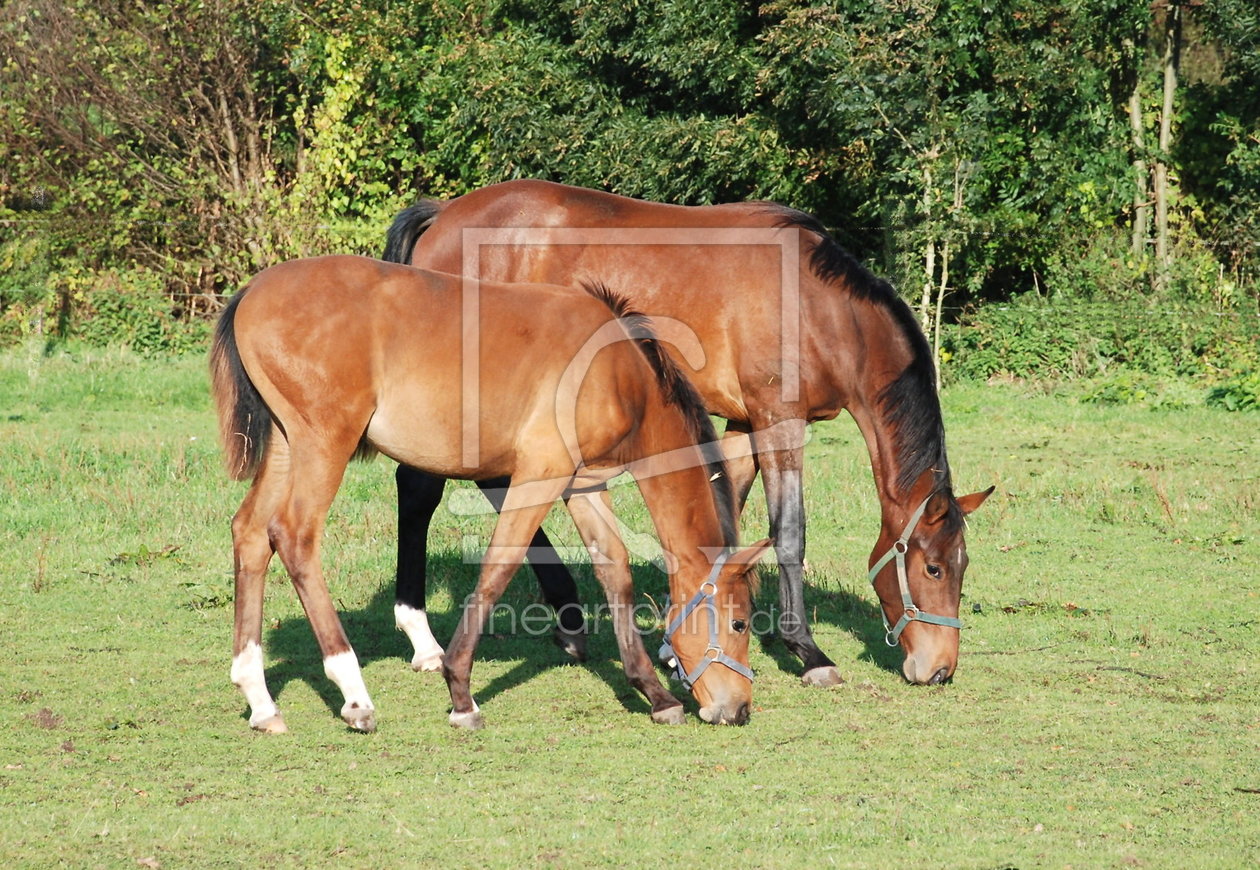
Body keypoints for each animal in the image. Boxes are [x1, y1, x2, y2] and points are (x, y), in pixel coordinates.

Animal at [209, 254, 766, 726]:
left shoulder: (583, 484)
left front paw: (654, 693)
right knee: (294, 535)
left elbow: (615, 570)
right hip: (324, 446)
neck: (618, 372)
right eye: (740, 624)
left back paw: (260, 699)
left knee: (251, 533)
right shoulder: (539, 474)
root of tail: (251, 292)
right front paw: (460, 692)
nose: (738, 709)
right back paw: (353, 693)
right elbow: (500, 566)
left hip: (286, 447)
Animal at [383, 179, 992, 685]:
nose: (940, 669)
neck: (819, 309)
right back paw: (427, 639)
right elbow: (789, 533)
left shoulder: (745, 422)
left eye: (963, 567)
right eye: (932, 567)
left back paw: (568, 619)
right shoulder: (779, 421)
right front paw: (807, 651)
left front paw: (678, 647)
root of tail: (445, 214)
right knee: (422, 491)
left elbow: (726, 522)